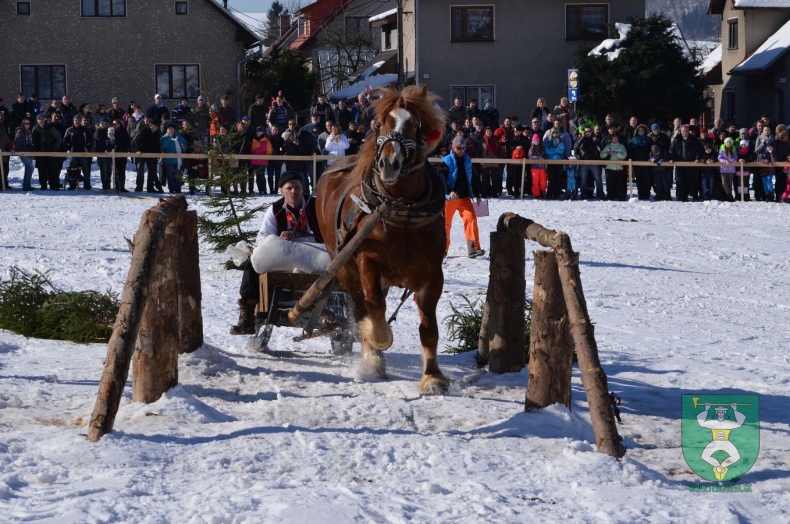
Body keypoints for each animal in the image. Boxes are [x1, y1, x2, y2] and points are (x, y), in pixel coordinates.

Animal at [318, 86, 452, 390]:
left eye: (414, 124)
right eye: (378, 124)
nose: (389, 163)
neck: (401, 211)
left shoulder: (432, 273)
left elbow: (429, 327)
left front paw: (432, 376)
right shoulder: (367, 262)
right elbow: (374, 309)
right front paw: (378, 344)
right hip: (343, 267)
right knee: (359, 307)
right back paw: (372, 359)